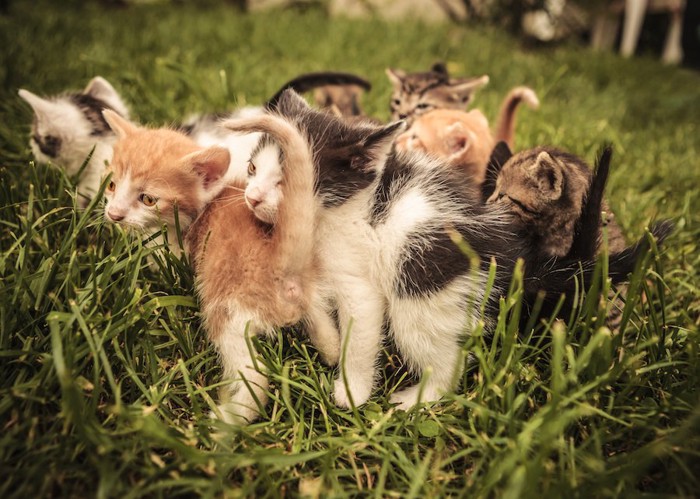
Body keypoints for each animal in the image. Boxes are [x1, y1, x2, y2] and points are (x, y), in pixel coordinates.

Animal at [101, 109, 340, 426]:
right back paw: (332, 354)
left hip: (225, 309)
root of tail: (281, 259)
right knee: (323, 323)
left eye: (148, 199)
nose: (113, 214)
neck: (212, 198)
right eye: (111, 185)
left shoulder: (177, 251)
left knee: (255, 376)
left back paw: (225, 419)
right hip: (308, 293)